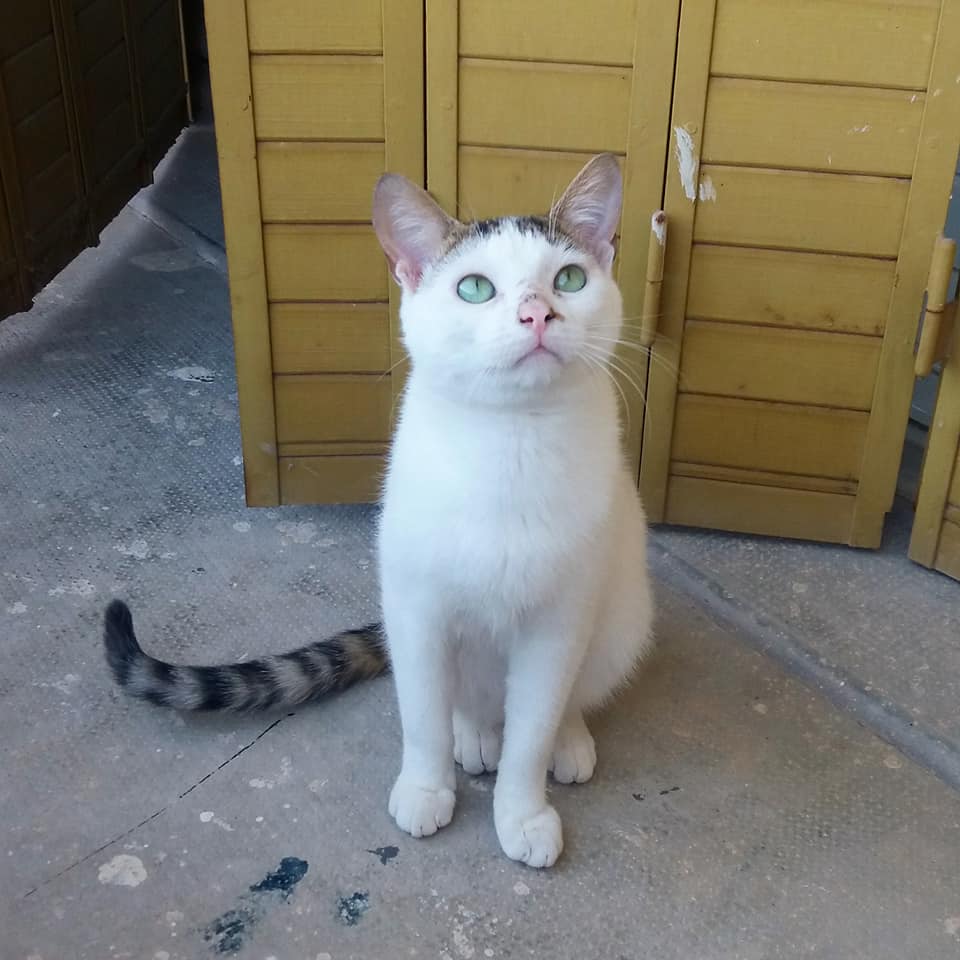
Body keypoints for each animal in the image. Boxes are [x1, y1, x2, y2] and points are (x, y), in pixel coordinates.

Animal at [103, 153, 654, 869]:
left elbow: (531, 732)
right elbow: (422, 716)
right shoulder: (416, 609)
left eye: (569, 278)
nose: (537, 315)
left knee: (563, 699)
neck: (511, 443)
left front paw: (523, 812)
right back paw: (474, 736)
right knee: (467, 706)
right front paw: (425, 788)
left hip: (621, 616)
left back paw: (567, 738)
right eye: (475, 289)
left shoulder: (557, 624)